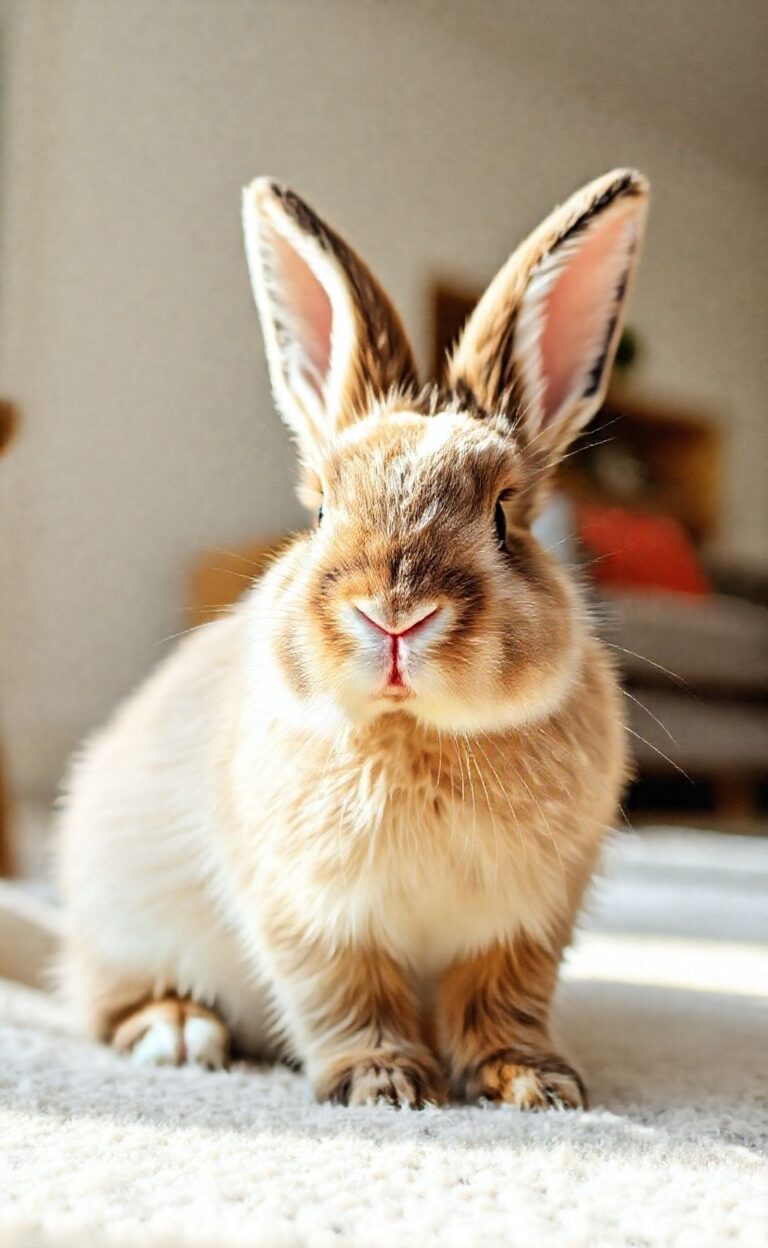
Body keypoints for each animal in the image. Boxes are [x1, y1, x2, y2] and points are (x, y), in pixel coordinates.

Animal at [58, 168, 648, 1110]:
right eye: (322, 512)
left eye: (503, 515)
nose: (394, 616)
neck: (416, 731)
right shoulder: (313, 918)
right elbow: (346, 1000)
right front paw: (386, 1087)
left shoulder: (524, 926)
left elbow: (502, 1005)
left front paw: (536, 1085)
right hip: (123, 920)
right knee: (109, 1003)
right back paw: (179, 1035)